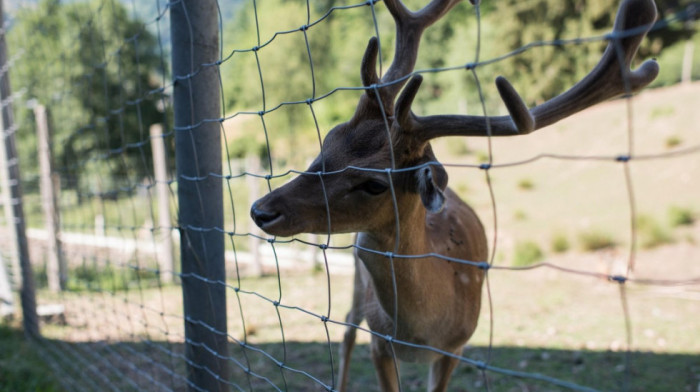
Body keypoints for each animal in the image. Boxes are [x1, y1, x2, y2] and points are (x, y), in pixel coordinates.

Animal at [249, 0, 660, 388]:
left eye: (375, 183)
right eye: (328, 140)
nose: (260, 209)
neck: (419, 331)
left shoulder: (456, 347)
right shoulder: (379, 342)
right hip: (354, 286)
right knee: (348, 327)